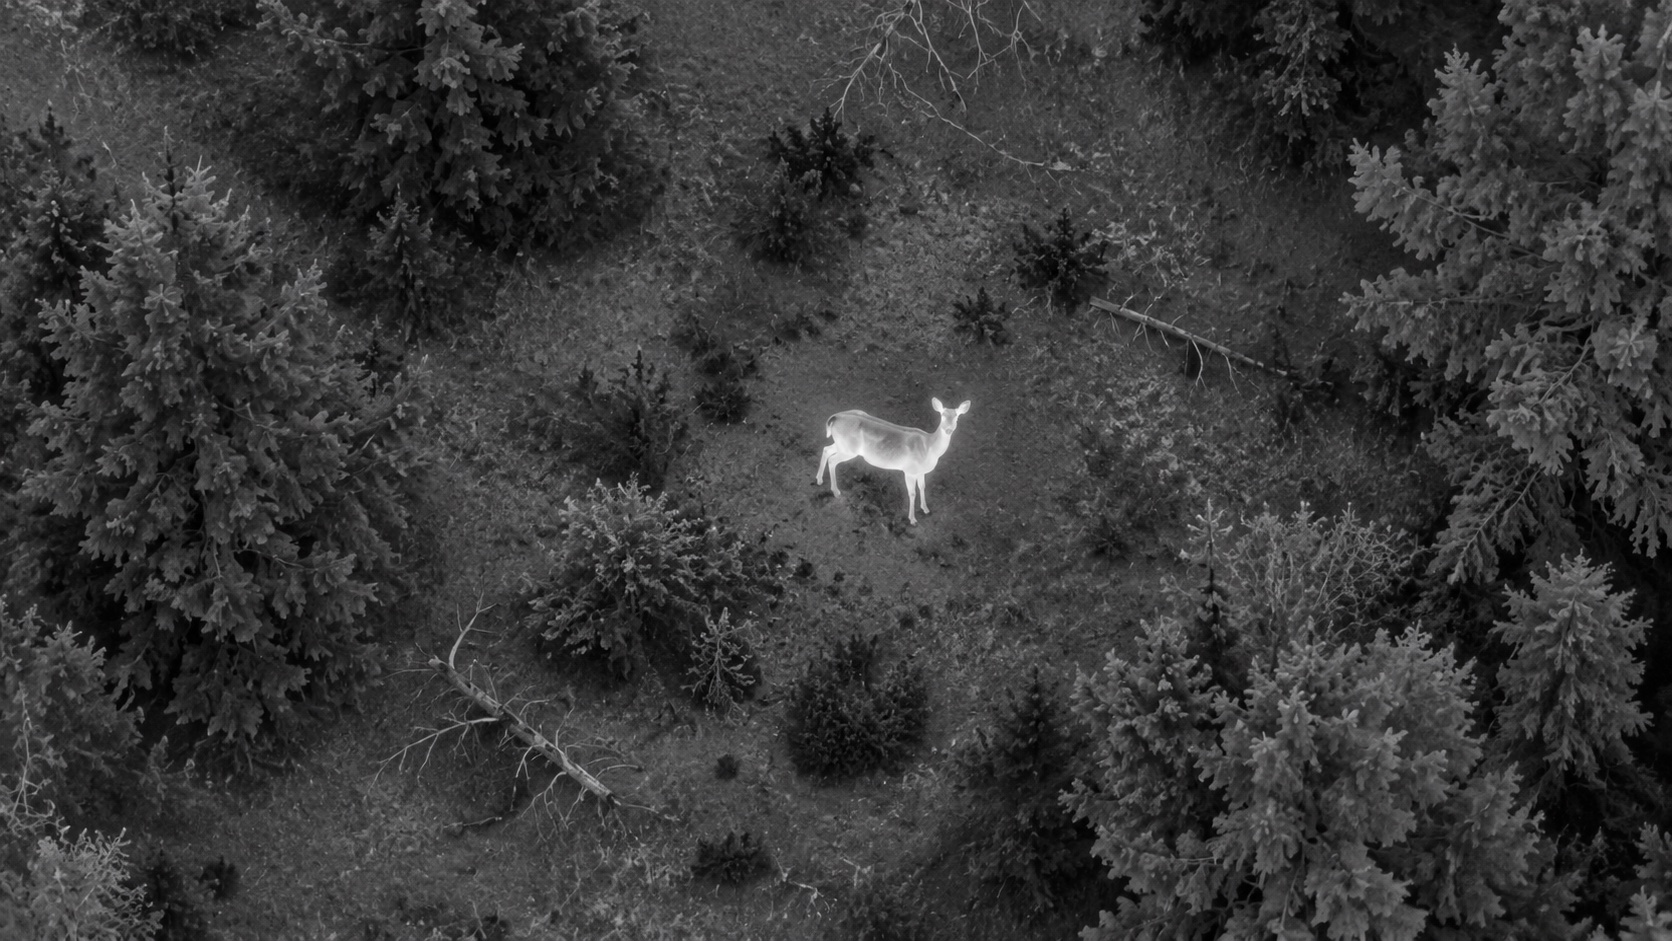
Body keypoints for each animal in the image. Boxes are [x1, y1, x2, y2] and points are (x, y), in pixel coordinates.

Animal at [815, 397, 971, 525]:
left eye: (957, 417)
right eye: (942, 416)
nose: (949, 429)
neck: (929, 448)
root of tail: (835, 417)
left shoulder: (921, 471)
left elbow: (922, 487)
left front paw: (926, 508)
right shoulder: (909, 470)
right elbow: (912, 493)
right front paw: (912, 519)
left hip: (842, 445)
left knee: (826, 449)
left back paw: (819, 479)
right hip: (848, 449)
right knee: (832, 460)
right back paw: (836, 491)